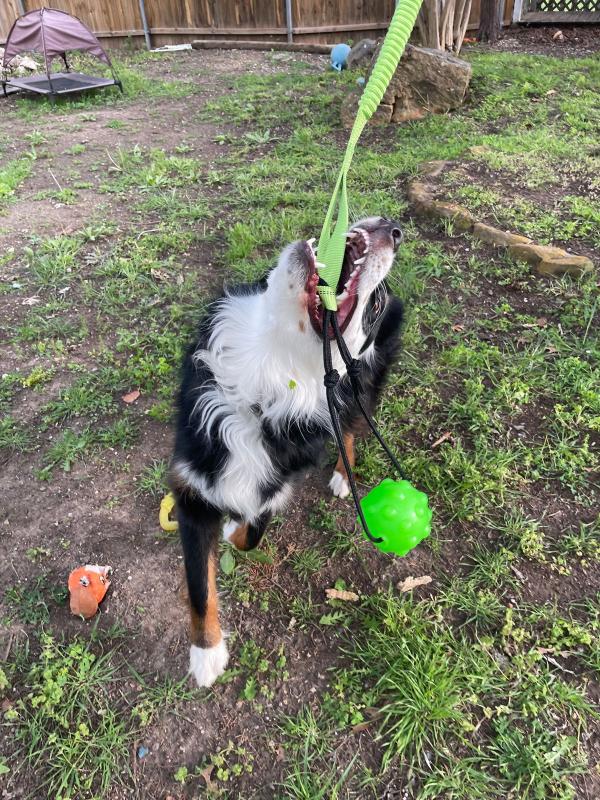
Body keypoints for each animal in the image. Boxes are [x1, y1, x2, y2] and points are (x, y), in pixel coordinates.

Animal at [169, 219, 404, 688]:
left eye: (371, 309)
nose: (393, 228)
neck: (260, 384)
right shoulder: (192, 489)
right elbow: (200, 587)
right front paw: (206, 653)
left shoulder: (275, 484)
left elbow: (251, 533)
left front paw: (233, 528)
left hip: (362, 392)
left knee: (350, 429)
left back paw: (343, 475)